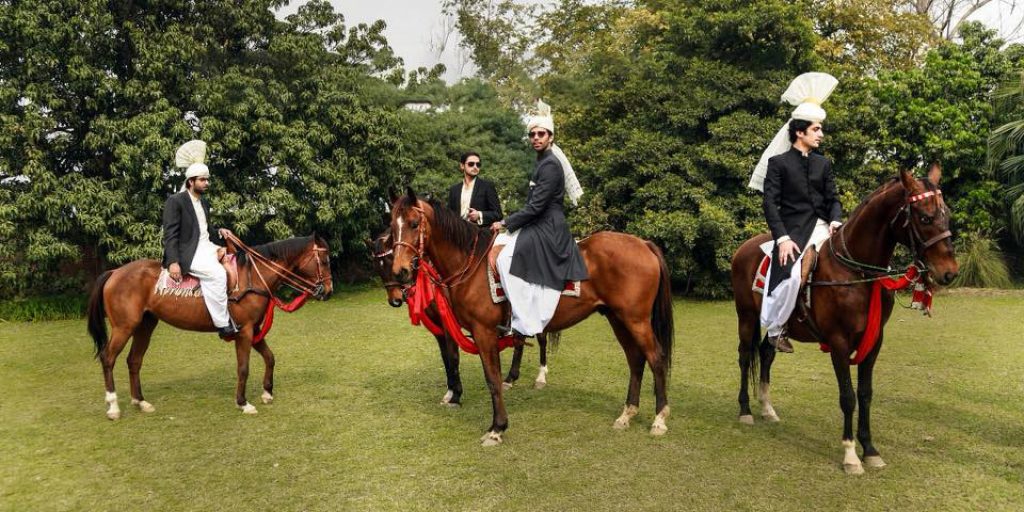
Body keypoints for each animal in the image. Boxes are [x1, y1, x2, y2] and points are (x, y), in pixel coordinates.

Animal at [86, 235, 331, 419]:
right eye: (325, 260)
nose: (328, 291)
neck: (253, 277)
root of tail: (115, 272)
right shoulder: (244, 331)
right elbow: (243, 368)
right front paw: (243, 403)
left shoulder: (253, 329)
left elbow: (270, 358)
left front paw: (267, 393)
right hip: (123, 327)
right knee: (108, 358)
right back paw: (113, 407)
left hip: (145, 325)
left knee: (134, 360)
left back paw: (140, 402)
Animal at [368, 230, 552, 405]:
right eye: (377, 266)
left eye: (391, 260)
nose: (395, 300)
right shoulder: (439, 330)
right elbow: (445, 358)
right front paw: (450, 392)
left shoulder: (450, 326)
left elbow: (453, 357)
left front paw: (456, 394)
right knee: (520, 341)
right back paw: (510, 379)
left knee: (542, 338)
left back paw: (541, 376)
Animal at [387, 190, 675, 446]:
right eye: (392, 228)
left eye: (414, 224)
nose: (400, 272)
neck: (471, 264)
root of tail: (643, 243)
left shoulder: (483, 333)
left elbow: (492, 379)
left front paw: (497, 429)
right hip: (618, 319)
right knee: (636, 360)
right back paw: (627, 414)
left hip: (636, 320)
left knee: (656, 359)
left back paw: (659, 419)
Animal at [729, 165, 958, 473]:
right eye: (924, 217)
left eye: (947, 213)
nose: (949, 272)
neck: (856, 272)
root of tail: (744, 248)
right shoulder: (838, 342)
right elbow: (848, 397)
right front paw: (850, 454)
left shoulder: (874, 342)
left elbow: (865, 394)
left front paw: (870, 449)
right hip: (747, 316)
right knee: (745, 356)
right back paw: (745, 410)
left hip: (775, 325)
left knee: (766, 352)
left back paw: (767, 408)